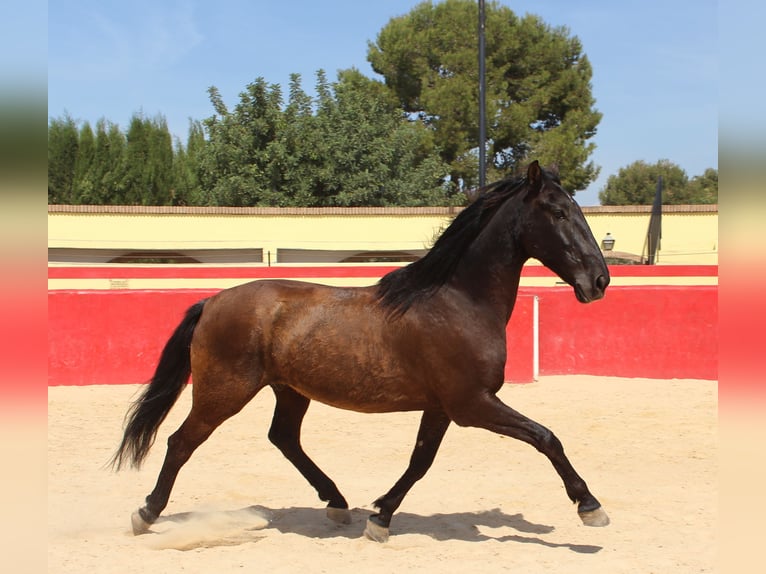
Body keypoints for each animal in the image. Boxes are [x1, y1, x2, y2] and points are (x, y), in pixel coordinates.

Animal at [111, 160, 611, 542]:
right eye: (558, 211)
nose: (600, 280)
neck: (458, 302)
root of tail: (212, 301)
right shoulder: (472, 404)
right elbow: (546, 437)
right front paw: (590, 505)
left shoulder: (443, 407)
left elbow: (420, 462)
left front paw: (380, 517)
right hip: (224, 391)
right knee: (181, 442)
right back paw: (146, 513)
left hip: (289, 390)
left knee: (283, 438)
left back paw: (337, 503)